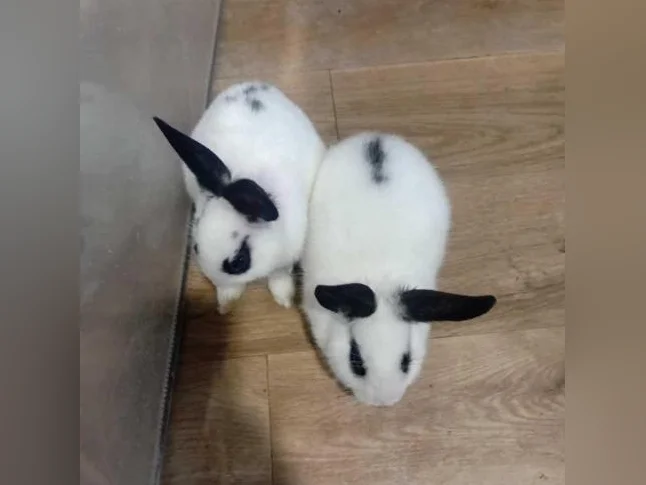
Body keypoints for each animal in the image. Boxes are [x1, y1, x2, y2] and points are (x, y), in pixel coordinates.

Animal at [153, 82, 325, 314]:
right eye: (196, 248)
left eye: (238, 262)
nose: (216, 281)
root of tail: (254, 84)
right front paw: (226, 303)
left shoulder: (287, 256)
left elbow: (279, 275)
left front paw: (284, 299)